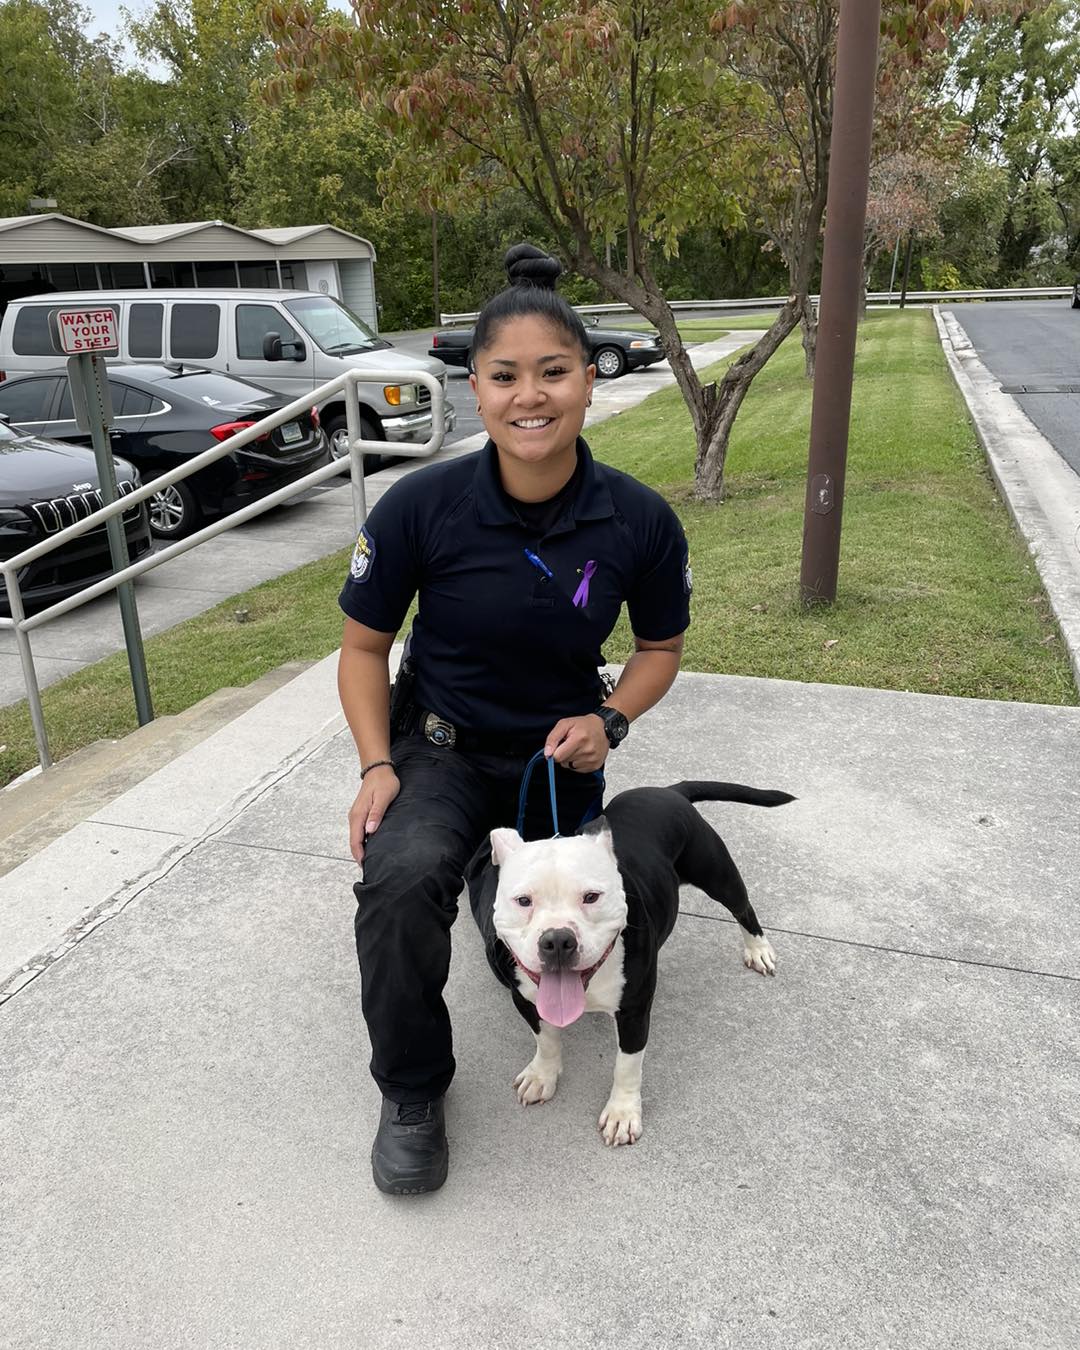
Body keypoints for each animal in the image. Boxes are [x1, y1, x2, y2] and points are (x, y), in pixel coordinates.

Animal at [467, 783, 793, 1150]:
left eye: (591, 897)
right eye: (523, 901)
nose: (558, 940)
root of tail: (669, 790)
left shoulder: (634, 1012)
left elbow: (627, 1065)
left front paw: (622, 1113)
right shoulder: (525, 998)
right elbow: (546, 1039)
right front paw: (543, 1075)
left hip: (717, 873)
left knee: (742, 907)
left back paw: (758, 948)